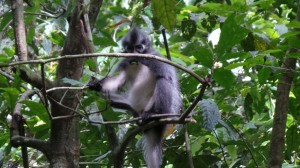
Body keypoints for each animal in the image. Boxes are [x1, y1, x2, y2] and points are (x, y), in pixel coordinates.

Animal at [86, 27, 180, 168]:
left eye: (139, 47)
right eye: (130, 48)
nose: (135, 53)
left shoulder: (155, 57)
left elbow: (167, 77)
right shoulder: (126, 61)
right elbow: (116, 81)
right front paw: (96, 84)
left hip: (162, 109)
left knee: (162, 80)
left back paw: (153, 114)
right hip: (133, 107)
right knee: (109, 98)